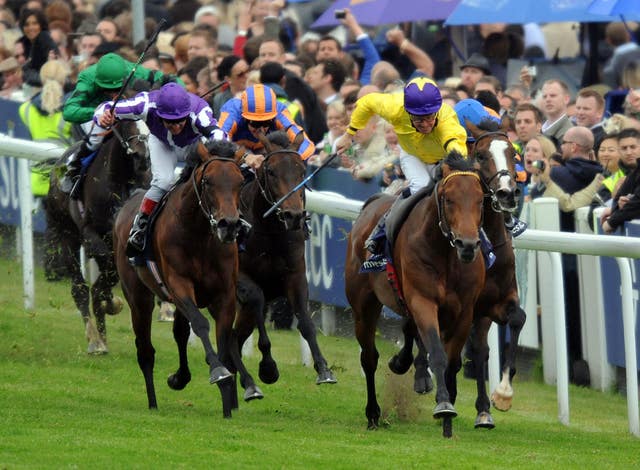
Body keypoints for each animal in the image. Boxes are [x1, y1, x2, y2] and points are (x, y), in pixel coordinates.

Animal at [46, 119, 150, 354]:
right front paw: (110, 302)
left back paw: (102, 335)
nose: (142, 157)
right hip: (66, 233)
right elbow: (106, 268)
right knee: (79, 288)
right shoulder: (89, 232)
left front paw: (110, 302)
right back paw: (95, 340)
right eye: (126, 121)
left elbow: (109, 275)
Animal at [114, 140, 254, 418]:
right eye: (208, 181)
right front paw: (218, 373)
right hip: (138, 297)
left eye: (240, 181)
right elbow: (200, 324)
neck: (199, 234)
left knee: (179, 332)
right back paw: (153, 402)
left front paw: (227, 405)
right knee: (145, 350)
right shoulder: (179, 285)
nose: (229, 225)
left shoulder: (224, 294)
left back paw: (182, 378)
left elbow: (224, 338)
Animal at [234, 130, 338, 388]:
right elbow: (257, 301)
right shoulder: (242, 278)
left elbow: (306, 322)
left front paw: (323, 369)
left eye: (301, 171)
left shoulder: (296, 275)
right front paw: (268, 367)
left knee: (235, 336)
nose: (293, 215)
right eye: (271, 171)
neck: (270, 232)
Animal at [344, 152, 484, 438]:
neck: (447, 255)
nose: (467, 245)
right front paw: (444, 405)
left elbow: (452, 362)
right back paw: (373, 413)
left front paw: (448, 419)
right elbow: (438, 353)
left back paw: (403, 363)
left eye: (481, 199)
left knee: (408, 331)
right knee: (369, 357)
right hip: (363, 305)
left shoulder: (464, 311)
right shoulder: (423, 301)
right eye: (449, 199)